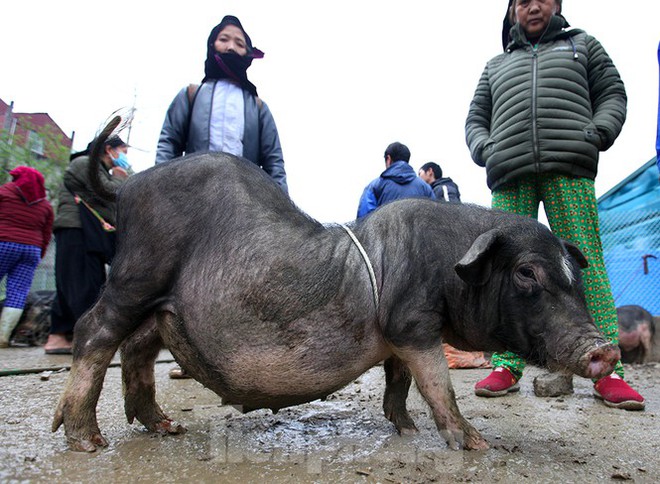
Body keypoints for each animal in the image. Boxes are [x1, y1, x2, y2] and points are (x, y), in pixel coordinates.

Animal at [51, 143, 620, 450]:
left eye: (574, 275)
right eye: (526, 273)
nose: (605, 349)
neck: (445, 263)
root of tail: (126, 189)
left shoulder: (397, 332)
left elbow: (399, 380)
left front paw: (405, 429)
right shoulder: (411, 321)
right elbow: (437, 383)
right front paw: (475, 444)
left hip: (163, 304)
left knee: (138, 346)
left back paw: (165, 427)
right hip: (137, 272)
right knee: (95, 330)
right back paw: (86, 440)